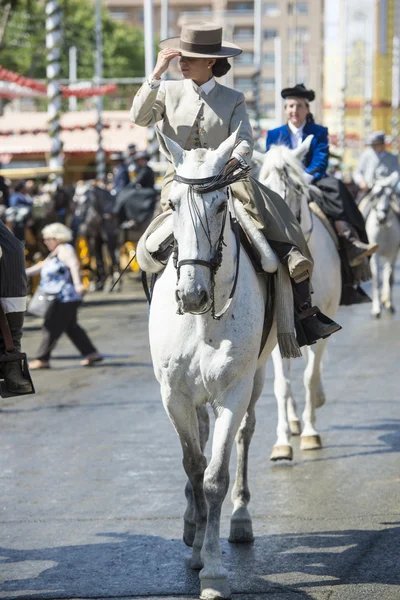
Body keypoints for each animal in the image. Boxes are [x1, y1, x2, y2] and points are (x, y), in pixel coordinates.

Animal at [148, 129, 278, 596]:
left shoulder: (232, 392)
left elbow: (215, 477)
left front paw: (215, 570)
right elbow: (193, 466)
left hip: (256, 378)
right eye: (171, 205)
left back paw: (238, 520)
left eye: (222, 205)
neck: (203, 319)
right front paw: (195, 551)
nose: (191, 295)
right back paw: (192, 525)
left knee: (244, 434)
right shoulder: (174, 396)